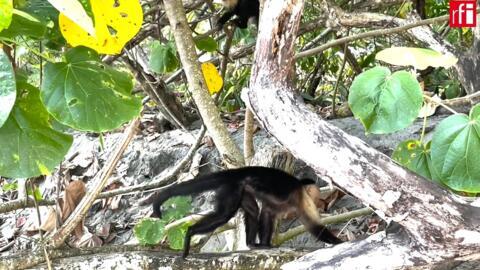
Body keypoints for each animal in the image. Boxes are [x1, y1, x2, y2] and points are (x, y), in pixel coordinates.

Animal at [150, 167, 342, 258]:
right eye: (316, 196)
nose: (322, 203)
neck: (301, 190)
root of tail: (234, 172)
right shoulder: (301, 199)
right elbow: (314, 226)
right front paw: (340, 242)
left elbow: (267, 213)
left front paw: (265, 244)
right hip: (233, 187)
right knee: (224, 214)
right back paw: (190, 233)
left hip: (243, 190)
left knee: (253, 210)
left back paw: (251, 244)